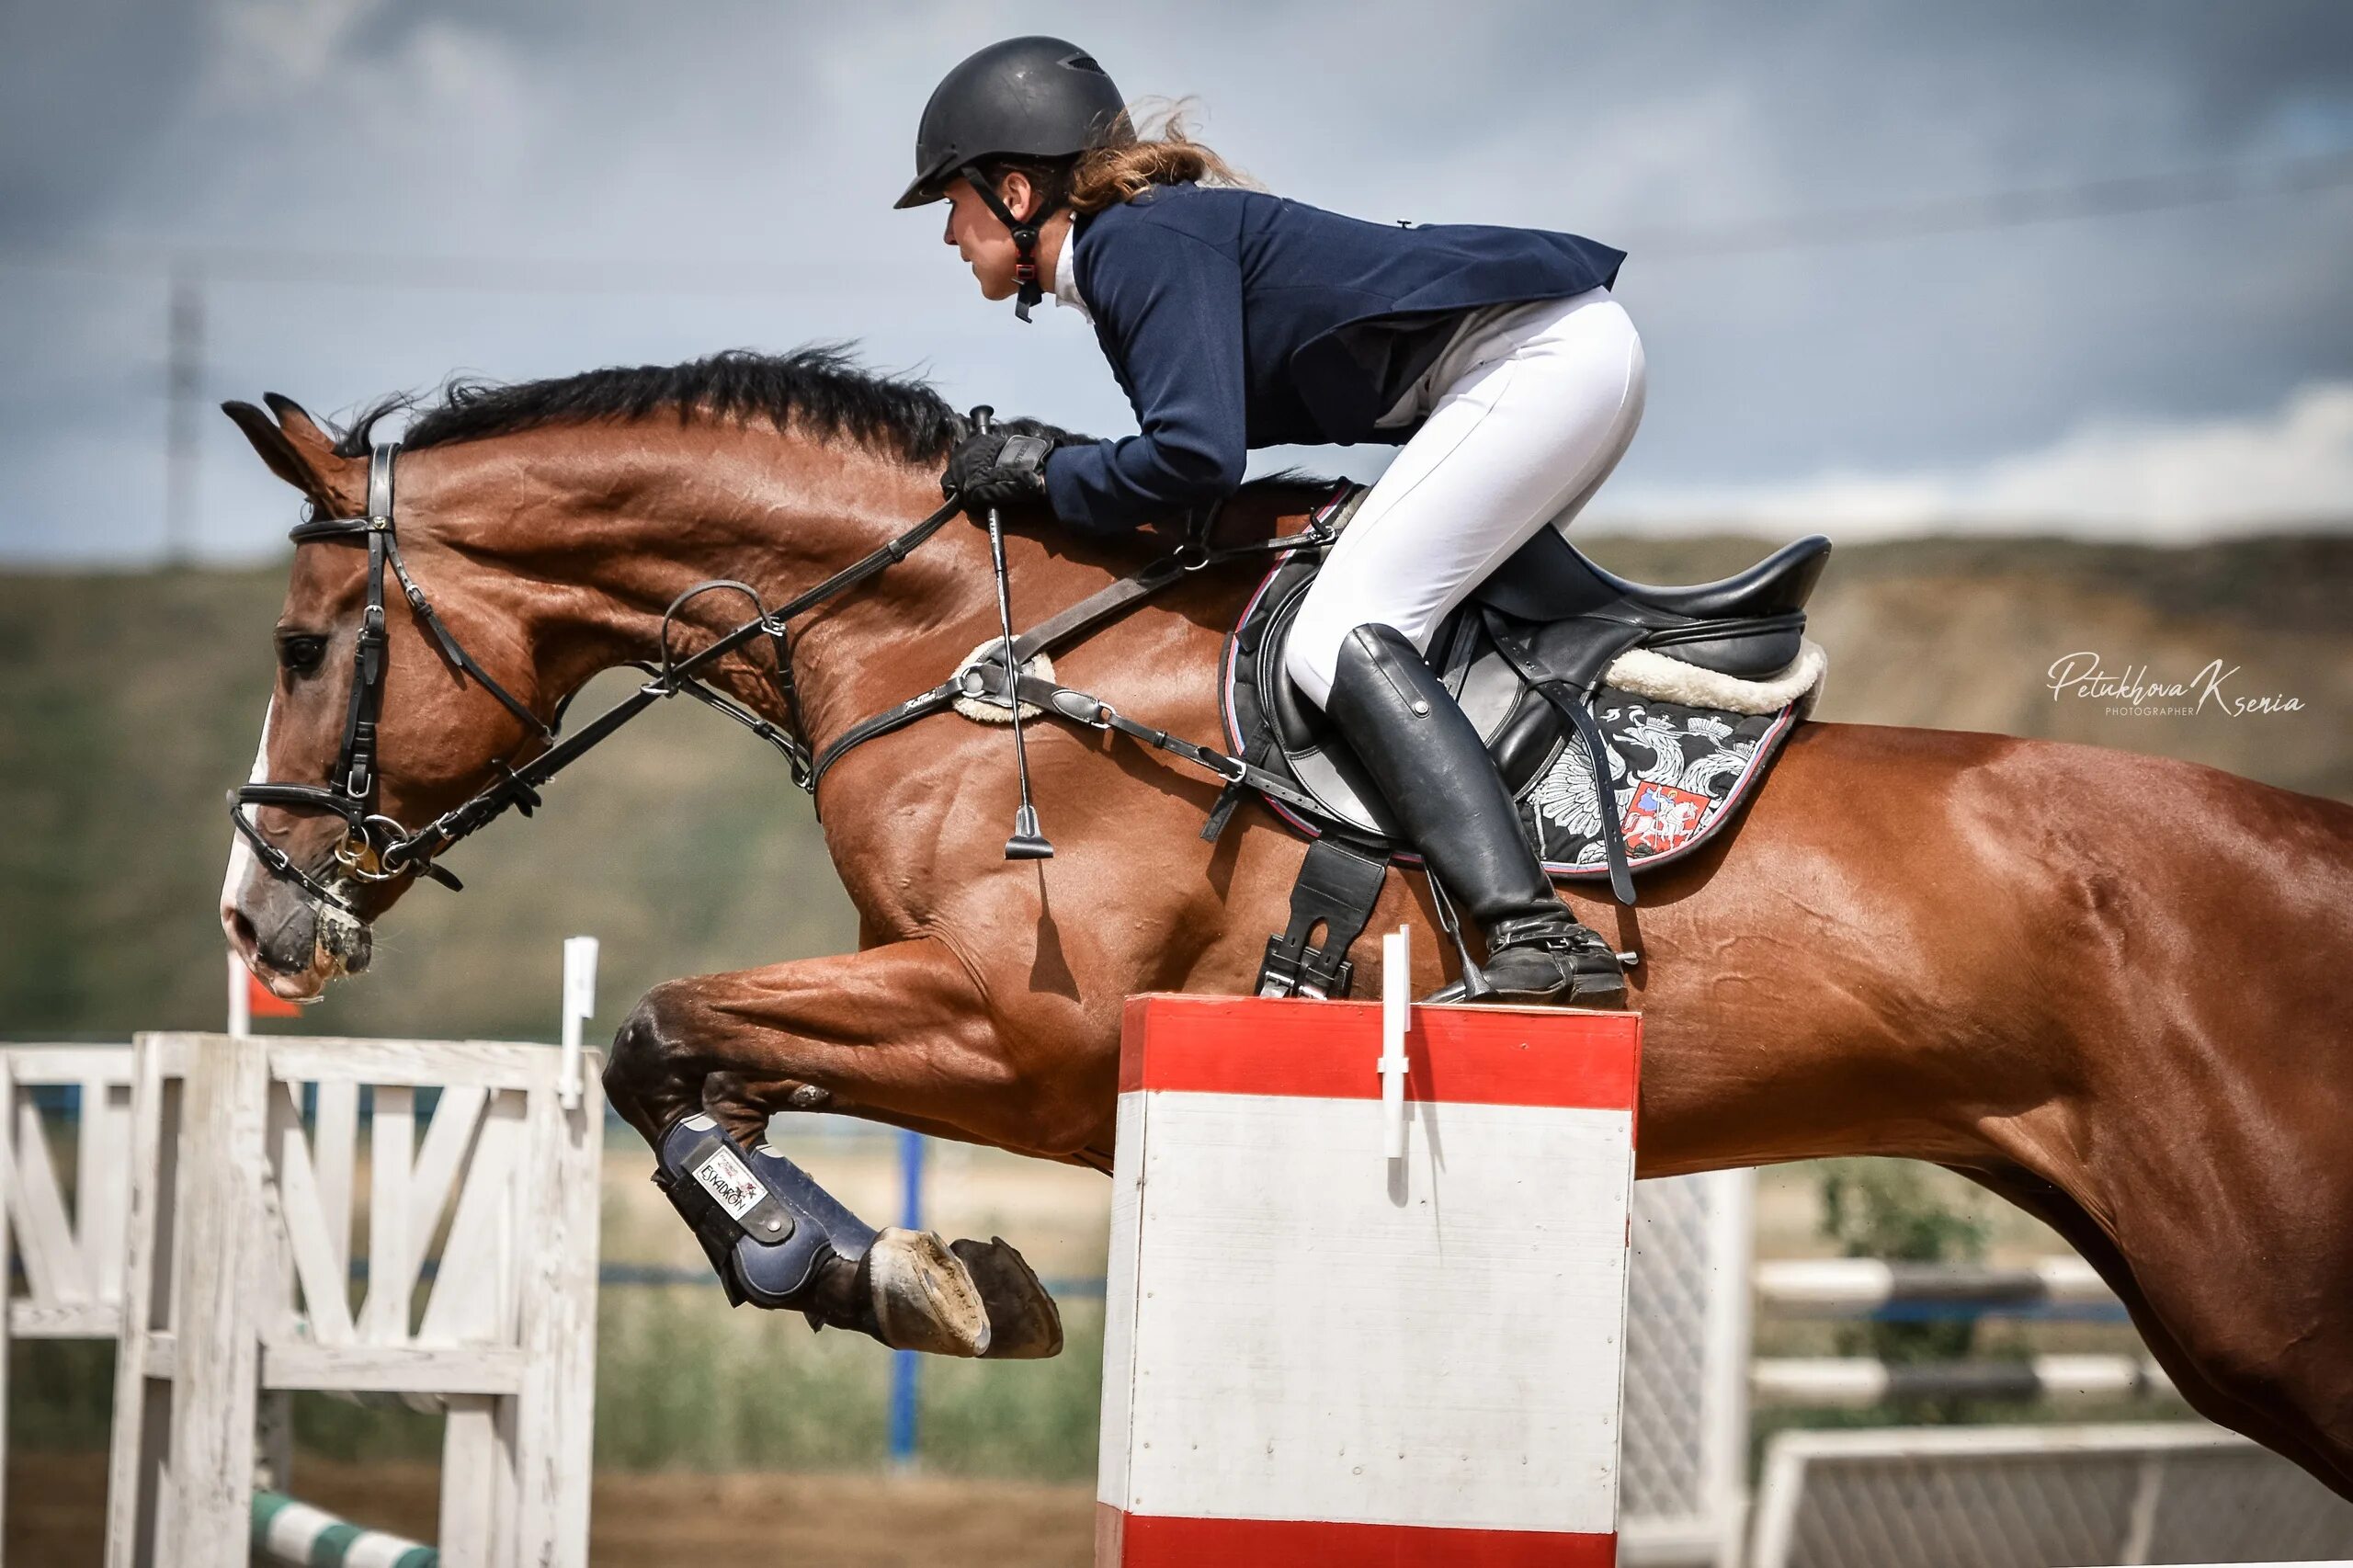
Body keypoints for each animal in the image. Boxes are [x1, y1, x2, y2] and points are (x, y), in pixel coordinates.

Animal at [221, 350, 2353, 1487]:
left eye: (308, 647)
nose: (262, 914)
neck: (967, 645)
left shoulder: (1030, 1032)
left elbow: (665, 1028)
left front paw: (869, 1268)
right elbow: (685, 1067)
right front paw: (884, 1267)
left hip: (2260, 1291)